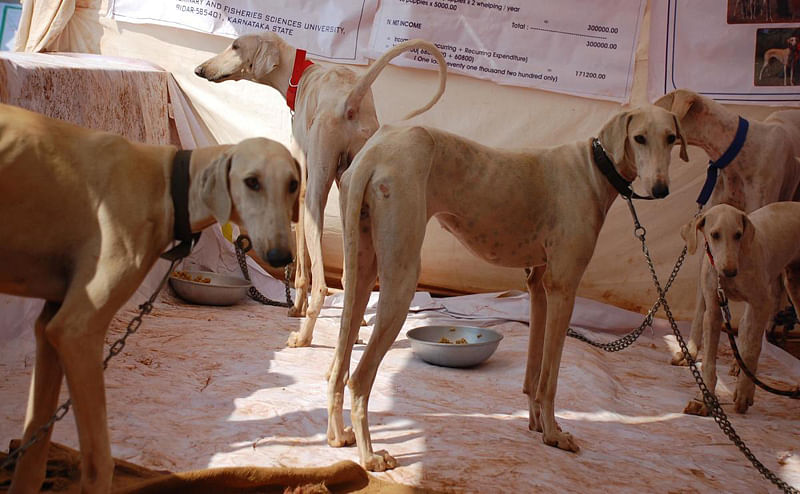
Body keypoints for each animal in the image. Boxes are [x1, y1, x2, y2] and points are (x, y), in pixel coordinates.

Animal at [0, 102, 300, 492]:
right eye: (252, 182)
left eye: (293, 184)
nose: (282, 257)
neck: (168, 182)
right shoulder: (76, 331)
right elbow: (100, 466)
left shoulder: (49, 325)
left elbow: (34, 455)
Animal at [191, 34, 446, 348]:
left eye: (236, 46)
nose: (199, 69)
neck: (300, 74)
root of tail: (351, 99)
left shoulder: (301, 187)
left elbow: (301, 266)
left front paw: (296, 307)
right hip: (356, 193)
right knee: (351, 280)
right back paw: (354, 331)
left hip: (317, 195)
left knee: (322, 285)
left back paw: (304, 336)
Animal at [324, 105, 688, 470]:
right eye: (639, 137)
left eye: (671, 137)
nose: (661, 189)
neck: (595, 166)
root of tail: (374, 153)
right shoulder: (564, 288)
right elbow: (550, 378)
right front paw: (554, 435)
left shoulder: (539, 286)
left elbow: (534, 372)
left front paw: (538, 425)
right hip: (401, 276)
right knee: (358, 377)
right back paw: (370, 457)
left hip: (360, 270)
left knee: (336, 368)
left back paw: (339, 436)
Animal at [680, 203, 800, 414]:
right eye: (715, 234)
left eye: (738, 234)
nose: (730, 272)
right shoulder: (714, 310)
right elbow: (709, 363)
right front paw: (705, 401)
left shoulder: (762, 304)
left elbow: (753, 348)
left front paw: (744, 393)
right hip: (792, 283)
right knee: (744, 325)